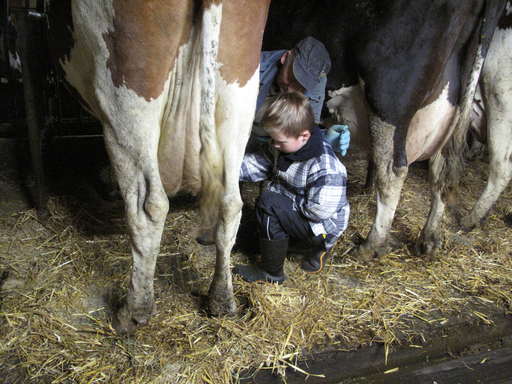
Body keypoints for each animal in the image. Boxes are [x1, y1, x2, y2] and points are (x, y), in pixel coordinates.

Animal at [47, 0, 272, 332]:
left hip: (128, 88)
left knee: (148, 208)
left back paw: (134, 311)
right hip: (239, 88)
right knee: (230, 205)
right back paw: (221, 300)